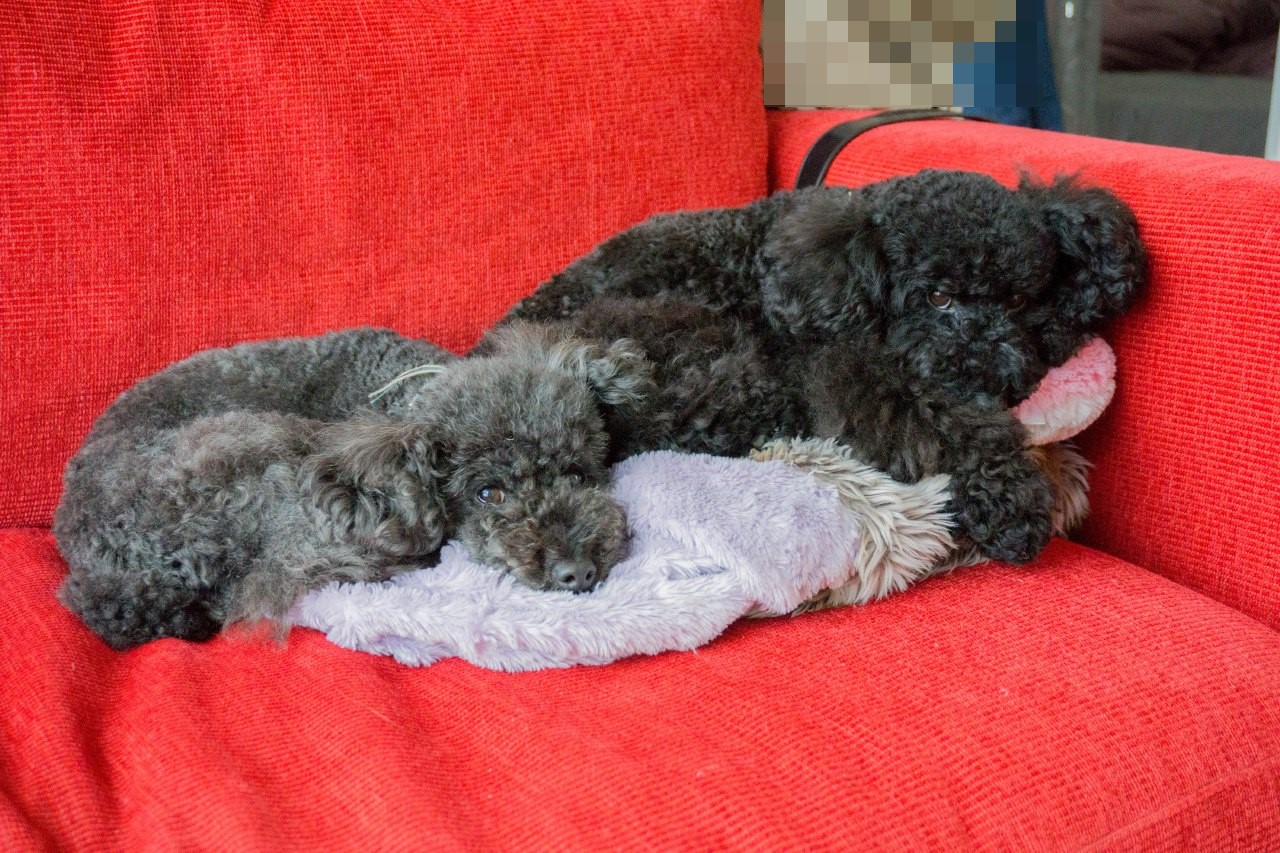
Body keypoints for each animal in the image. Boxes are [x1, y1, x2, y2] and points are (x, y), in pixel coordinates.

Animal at [503, 169, 1148, 563]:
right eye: (937, 297)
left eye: (1017, 299)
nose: (992, 366)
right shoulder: (853, 373)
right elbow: (940, 422)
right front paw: (1011, 500)